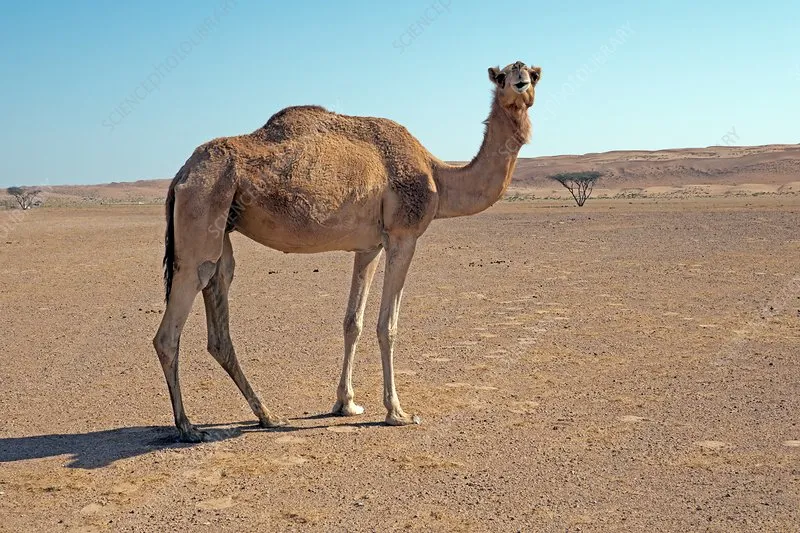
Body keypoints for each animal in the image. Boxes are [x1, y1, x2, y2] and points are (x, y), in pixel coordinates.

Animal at [153, 61, 542, 442]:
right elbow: (388, 325)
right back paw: (189, 427)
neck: (437, 177)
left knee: (219, 320)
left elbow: (352, 322)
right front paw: (398, 412)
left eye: (534, 74)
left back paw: (267, 415)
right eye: (503, 76)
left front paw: (347, 404)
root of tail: (182, 174)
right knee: (169, 331)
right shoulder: (403, 236)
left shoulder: (370, 246)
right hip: (202, 212)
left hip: (221, 232)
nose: (521, 84)